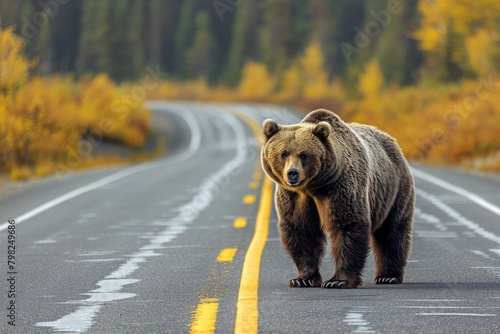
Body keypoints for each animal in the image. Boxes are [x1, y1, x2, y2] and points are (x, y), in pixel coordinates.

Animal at [262, 108, 414, 288]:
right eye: (283, 154)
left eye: (303, 155)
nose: (292, 173)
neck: (313, 186)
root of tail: (392, 141)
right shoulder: (295, 197)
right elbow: (302, 229)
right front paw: (303, 279)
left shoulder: (339, 187)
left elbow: (347, 225)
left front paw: (338, 280)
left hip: (394, 189)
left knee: (392, 231)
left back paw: (388, 276)